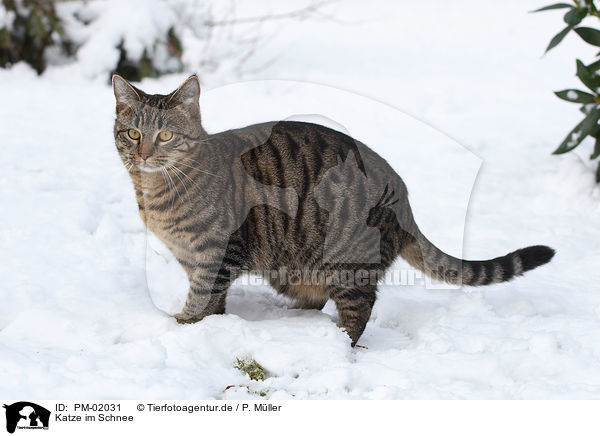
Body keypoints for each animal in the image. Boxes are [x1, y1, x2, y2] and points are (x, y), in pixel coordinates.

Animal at [111, 76, 552, 348]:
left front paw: (183, 327)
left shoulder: (219, 253)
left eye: (166, 135)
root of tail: (404, 196)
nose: (143, 153)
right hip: (293, 269)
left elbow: (201, 296)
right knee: (316, 298)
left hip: (348, 262)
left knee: (359, 310)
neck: (156, 193)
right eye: (132, 133)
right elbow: (212, 303)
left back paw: (336, 344)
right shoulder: (194, 258)